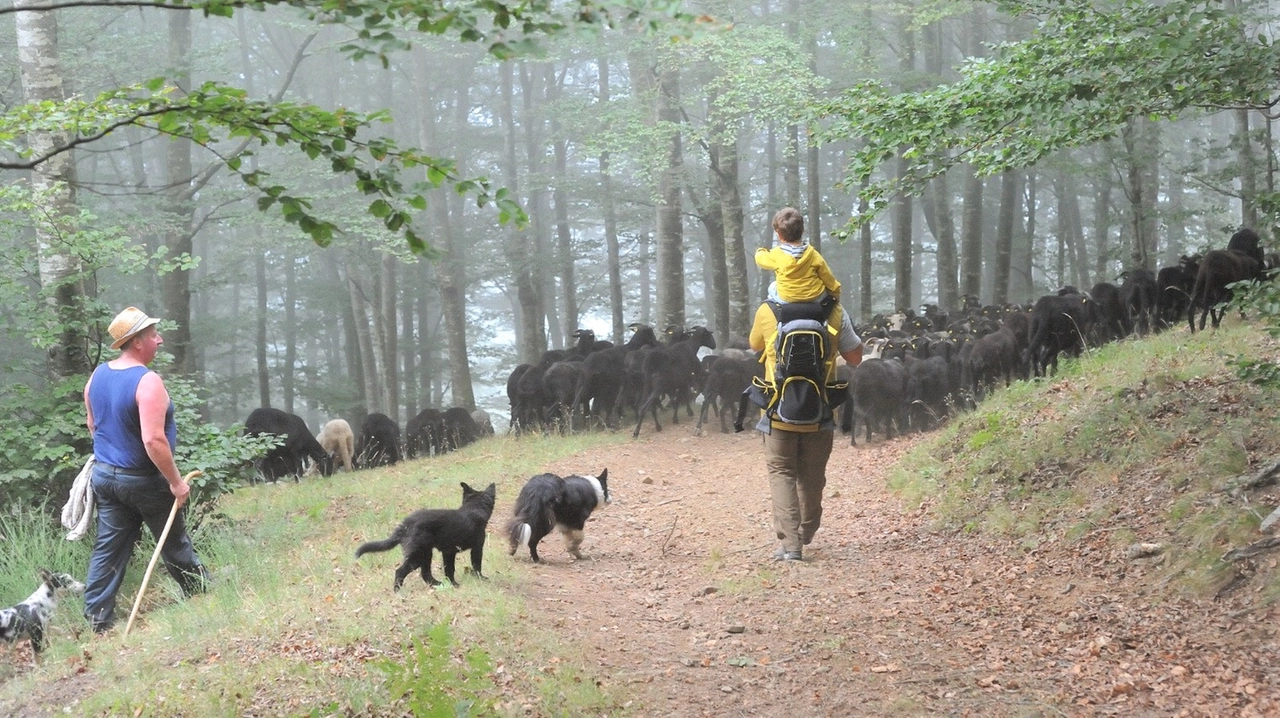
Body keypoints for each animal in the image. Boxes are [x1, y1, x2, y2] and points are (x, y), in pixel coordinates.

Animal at [355, 478, 494, 591]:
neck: (473, 508)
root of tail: (405, 525)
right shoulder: (476, 548)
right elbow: (476, 566)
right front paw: (481, 579)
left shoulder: (448, 552)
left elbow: (449, 570)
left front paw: (452, 584)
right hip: (417, 555)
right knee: (400, 571)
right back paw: (398, 591)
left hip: (426, 553)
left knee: (425, 574)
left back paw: (438, 584)